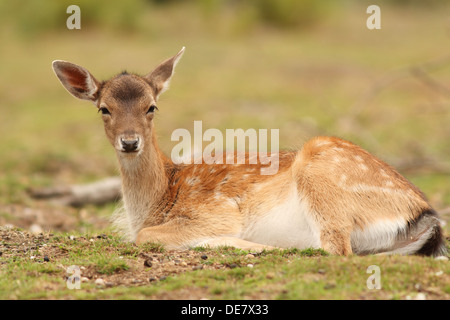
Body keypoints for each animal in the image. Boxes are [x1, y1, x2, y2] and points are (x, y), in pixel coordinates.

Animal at [52, 47, 446, 256]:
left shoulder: (216, 211)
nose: (130, 141)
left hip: (320, 174)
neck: (159, 200)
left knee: (331, 249)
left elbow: (146, 236)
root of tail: (426, 215)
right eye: (104, 108)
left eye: (152, 106)